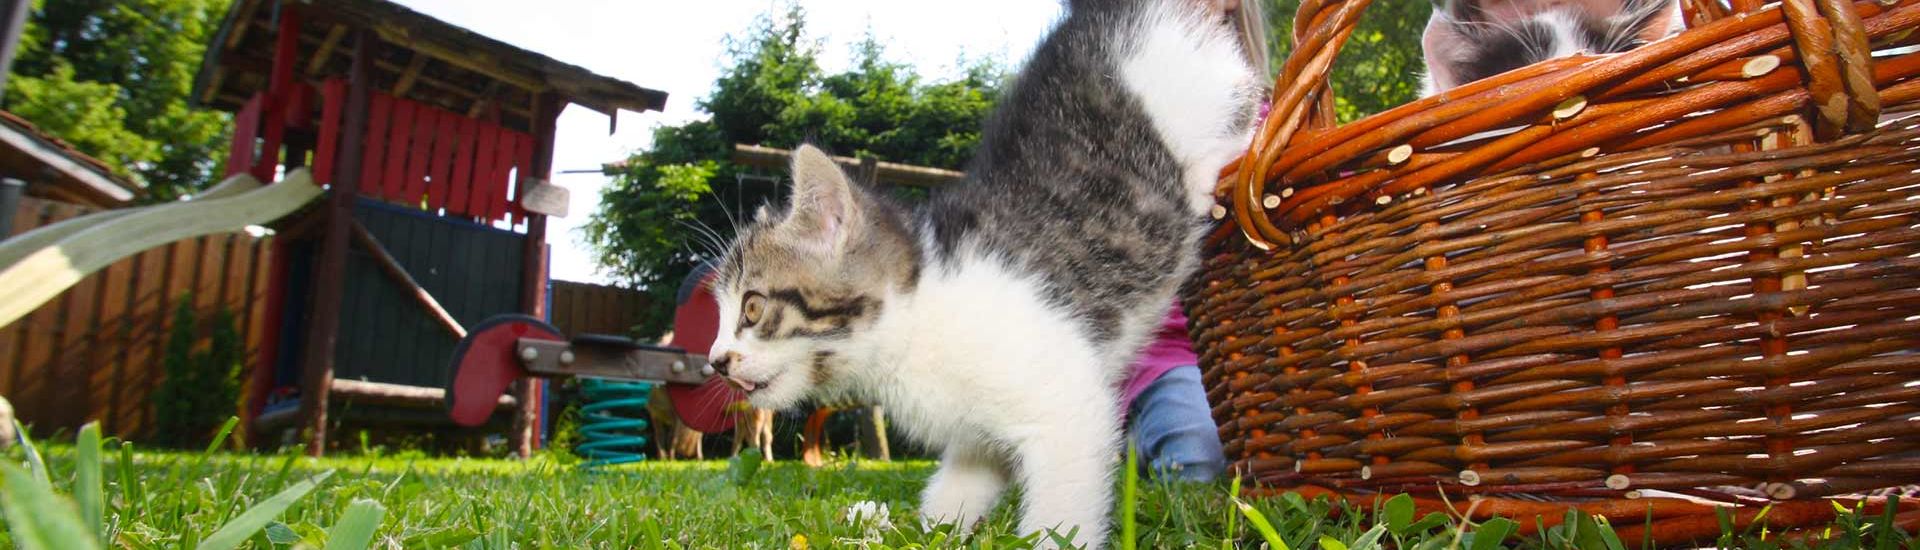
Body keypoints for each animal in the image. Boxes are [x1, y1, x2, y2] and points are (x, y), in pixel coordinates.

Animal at [706, 0, 1259, 546]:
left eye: (752, 307)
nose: (715, 361)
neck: (914, 317)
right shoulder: (976, 436)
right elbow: (957, 487)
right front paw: (927, 529)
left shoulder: (1069, 405)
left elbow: (1060, 513)